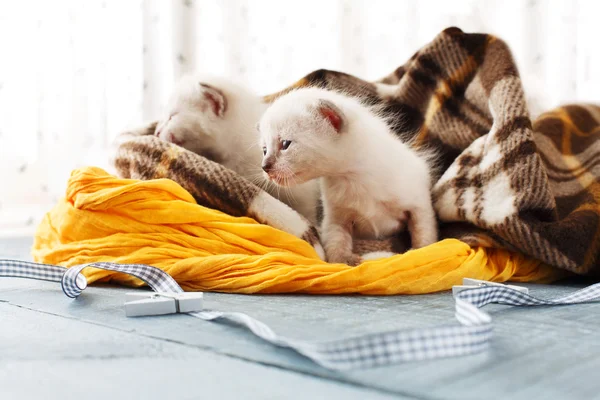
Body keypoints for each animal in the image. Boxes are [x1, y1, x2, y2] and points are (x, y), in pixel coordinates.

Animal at [256, 87, 436, 266]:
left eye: (285, 144)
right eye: (264, 150)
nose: (265, 167)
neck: (352, 178)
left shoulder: (420, 205)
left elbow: (425, 235)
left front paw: (420, 251)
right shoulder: (336, 219)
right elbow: (336, 247)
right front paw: (348, 261)